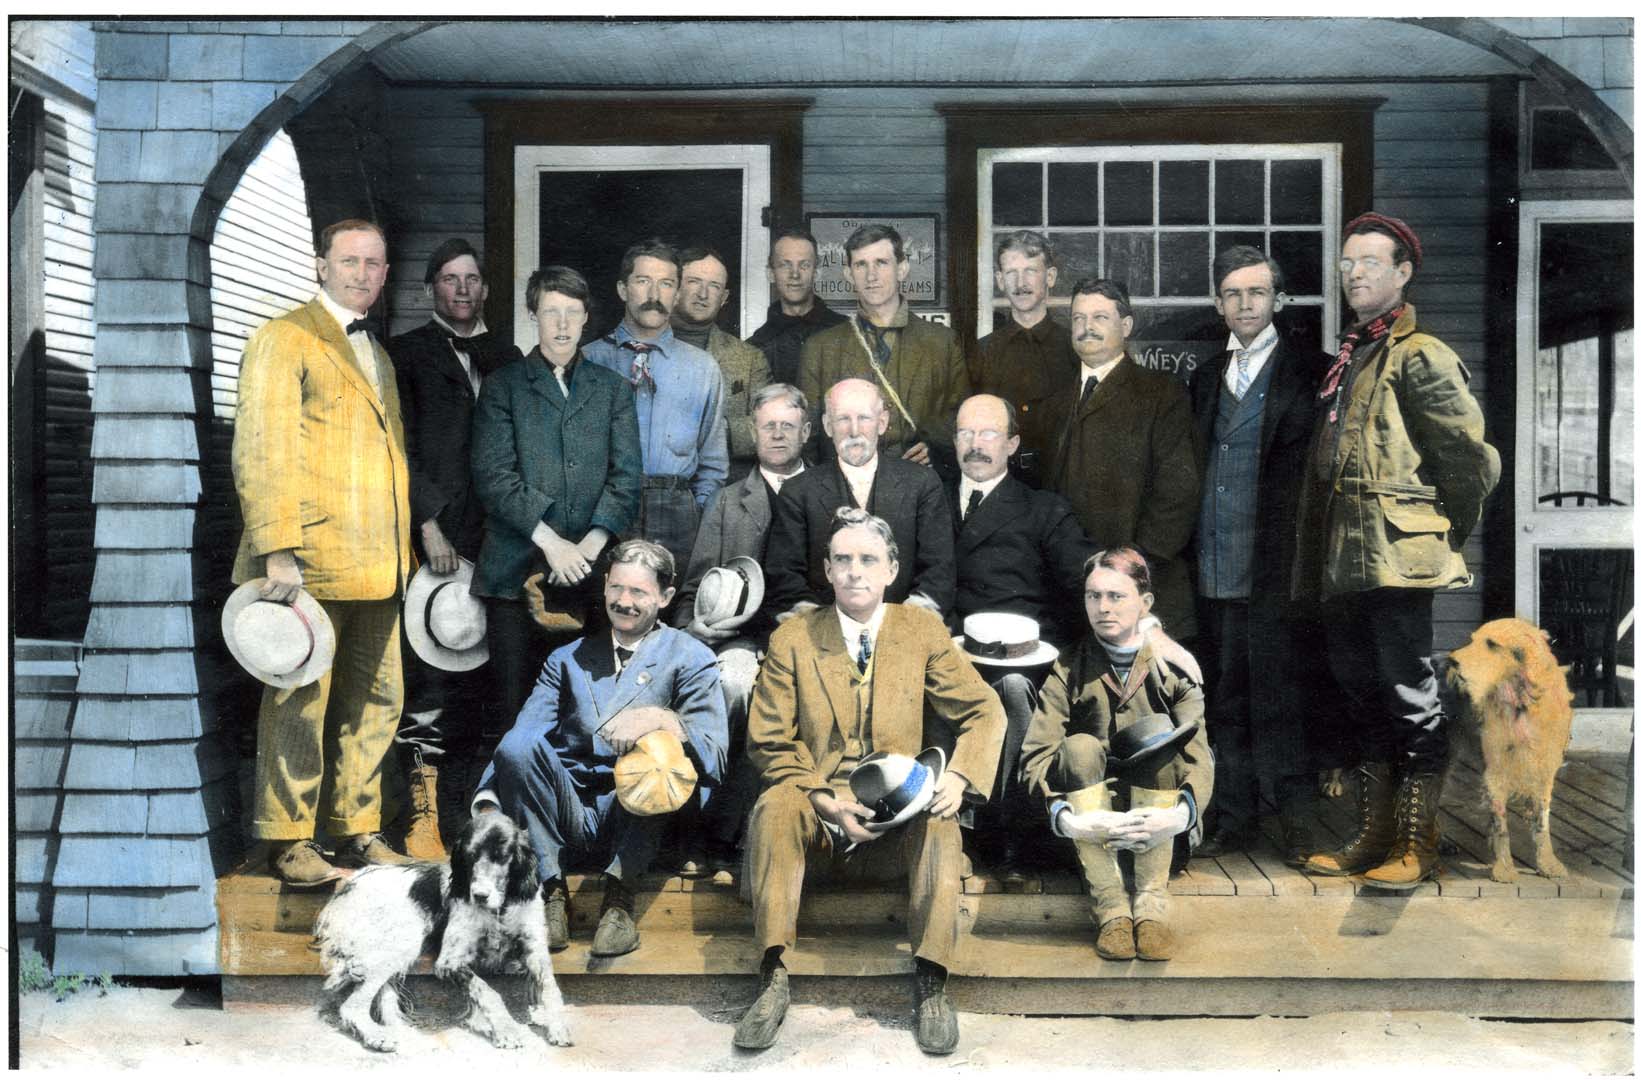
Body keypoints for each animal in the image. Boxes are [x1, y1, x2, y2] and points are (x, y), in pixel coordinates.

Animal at [311, 810, 571, 1050]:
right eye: (469, 856)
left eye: (501, 856)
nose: (479, 895)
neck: (500, 910)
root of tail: (348, 885)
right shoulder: (449, 962)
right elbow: (488, 991)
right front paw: (506, 1029)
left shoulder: (535, 950)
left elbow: (551, 988)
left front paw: (558, 1025)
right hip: (405, 939)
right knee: (351, 1005)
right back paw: (377, 1036)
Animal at [1450, 617, 1575, 879]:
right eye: (1472, 639)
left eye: (1491, 644)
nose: (1452, 660)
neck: (1522, 705)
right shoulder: (1495, 774)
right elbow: (1501, 826)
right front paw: (1504, 868)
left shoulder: (1543, 773)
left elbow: (1542, 824)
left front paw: (1547, 864)